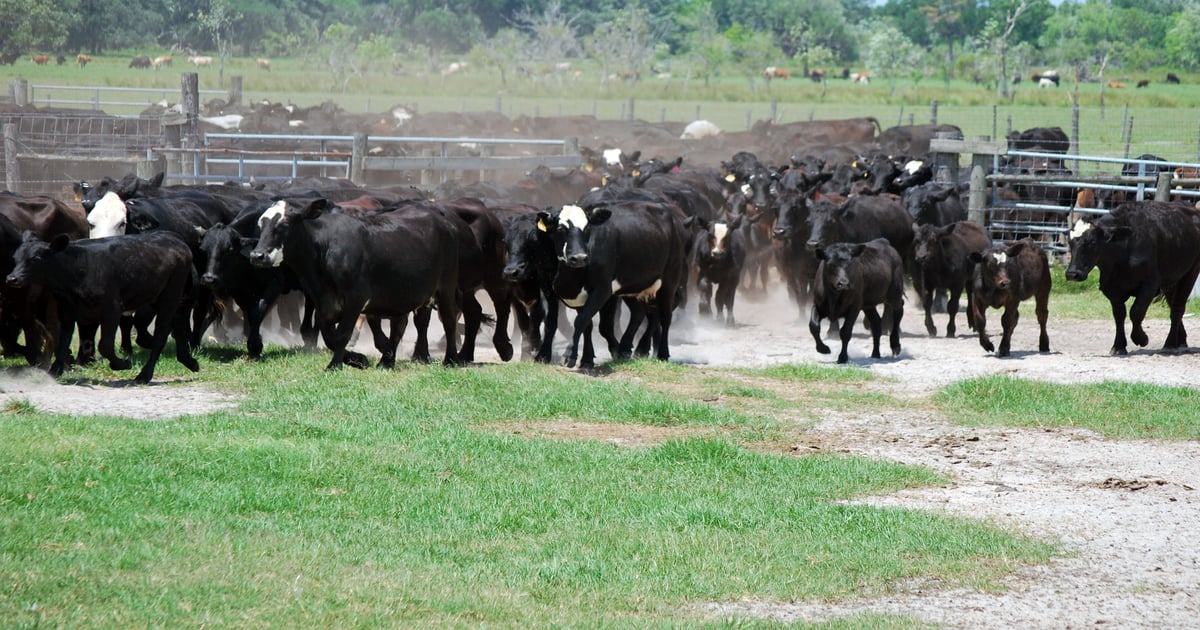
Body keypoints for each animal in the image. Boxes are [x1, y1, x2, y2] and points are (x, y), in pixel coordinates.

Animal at [5, 231, 200, 384]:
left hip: (170, 294)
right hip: (163, 296)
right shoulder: (66, 309)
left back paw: (144, 375)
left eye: (35, 259)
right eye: (15, 258)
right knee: (178, 325)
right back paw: (190, 361)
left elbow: (104, 345)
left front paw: (123, 364)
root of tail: (176, 240)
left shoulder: (112, 307)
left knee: (162, 333)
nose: (12, 278)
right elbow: (63, 340)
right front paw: (54, 371)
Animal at [248, 198, 462, 369]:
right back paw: (386, 361)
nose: (257, 255)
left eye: (284, 223)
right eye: (260, 224)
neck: (325, 250)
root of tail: (445, 222)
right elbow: (329, 336)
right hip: (403, 294)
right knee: (399, 325)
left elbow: (342, 334)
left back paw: (450, 359)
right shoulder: (322, 302)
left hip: (446, 286)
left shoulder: (355, 299)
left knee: (449, 321)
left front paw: (335, 365)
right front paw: (357, 359)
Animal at [539, 201, 689, 369]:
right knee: (640, 312)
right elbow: (583, 325)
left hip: (670, 279)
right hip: (632, 285)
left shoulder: (602, 289)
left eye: (587, 228)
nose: (579, 258)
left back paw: (661, 353)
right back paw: (629, 347)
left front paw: (570, 355)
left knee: (665, 316)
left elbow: (584, 321)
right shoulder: (558, 292)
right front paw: (587, 359)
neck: (569, 278)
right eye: (560, 229)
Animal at [1065, 201, 1200, 355]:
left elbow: (1136, 311)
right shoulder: (1111, 288)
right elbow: (1119, 315)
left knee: (1177, 308)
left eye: (1092, 242)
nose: (1072, 274)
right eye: (1070, 242)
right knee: (1173, 305)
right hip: (1172, 281)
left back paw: (1170, 343)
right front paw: (1118, 346)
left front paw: (1141, 338)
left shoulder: (1150, 285)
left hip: (1191, 272)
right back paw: (1181, 341)